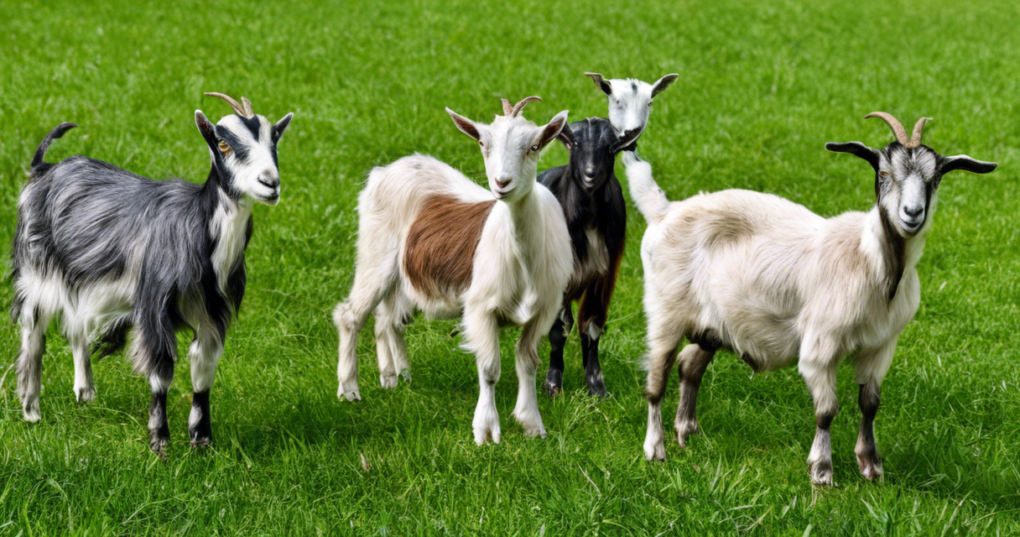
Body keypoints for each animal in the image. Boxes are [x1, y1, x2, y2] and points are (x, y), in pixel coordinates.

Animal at [11, 93, 294, 455]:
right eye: (223, 143)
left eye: (274, 141)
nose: (270, 183)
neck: (194, 227)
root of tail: (43, 168)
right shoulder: (154, 304)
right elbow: (161, 372)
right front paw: (160, 442)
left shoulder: (213, 312)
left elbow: (203, 370)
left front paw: (202, 441)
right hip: (36, 268)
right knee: (33, 330)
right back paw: (31, 408)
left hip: (81, 278)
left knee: (76, 324)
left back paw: (84, 392)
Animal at [333, 97, 573, 445]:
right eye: (483, 143)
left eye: (534, 146)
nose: (502, 183)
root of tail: (384, 171)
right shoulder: (481, 307)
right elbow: (489, 369)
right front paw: (485, 431)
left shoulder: (543, 310)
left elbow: (527, 362)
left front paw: (532, 425)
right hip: (375, 253)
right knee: (351, 315)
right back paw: (349, 389)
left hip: (403, 278)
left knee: (387, 320)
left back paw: (394, 376)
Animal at [536, 118, 641, 397]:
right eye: (574, 143)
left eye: (611, 148)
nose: (590, 174)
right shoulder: (559, 276)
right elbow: (560, 328)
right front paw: (553, 385)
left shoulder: (604, 276)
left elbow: (592, 327)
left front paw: (596, 387)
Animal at [624, 113, 996, 485]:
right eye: (883, 173)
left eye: (935, 179)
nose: (912, 213)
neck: (873, 264)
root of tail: (664, 210)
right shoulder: (821, 345)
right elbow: (827, 410)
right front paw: (821, 471)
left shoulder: (881, 346)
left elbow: (870, 403)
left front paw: (871, 466)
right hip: (664, 309)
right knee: (657, 378)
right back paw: (655, 449)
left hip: (713, 324)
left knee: (689, 364)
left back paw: (687, 433)